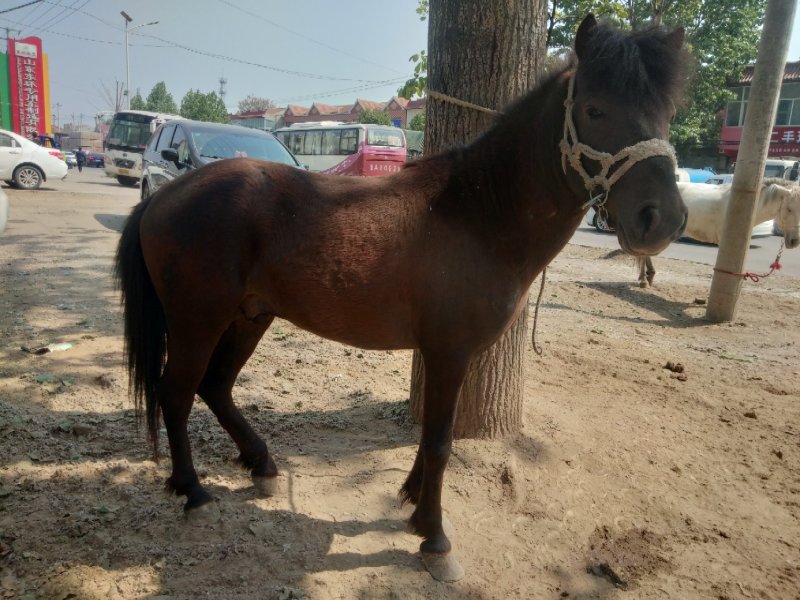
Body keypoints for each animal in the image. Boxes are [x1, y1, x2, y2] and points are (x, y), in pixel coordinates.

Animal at [115, 15, 688, 582]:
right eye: (594, 109)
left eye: (667, 115)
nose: (661, 218)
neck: (478, 215)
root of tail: (164, 196)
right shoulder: (448, 352)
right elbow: (439, 441)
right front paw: (434, 537)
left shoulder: (446, 355)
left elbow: (435, 433)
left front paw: (412, 500)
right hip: (198, 321)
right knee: (176, 393)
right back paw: (193, 492)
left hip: (249, 317)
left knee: (215, 387)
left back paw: (262, 465)